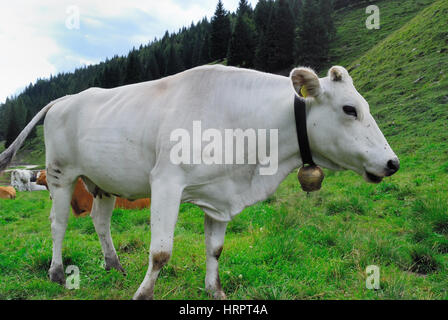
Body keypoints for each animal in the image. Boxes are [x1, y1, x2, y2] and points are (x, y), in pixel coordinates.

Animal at [0, 64, 400, 300]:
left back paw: (113, 265)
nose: (392, 162)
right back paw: (55, 271)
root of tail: (65, 98)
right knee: (59, 223)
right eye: (350, 109)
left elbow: (215, 250)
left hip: (102, 181)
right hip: (61, 174)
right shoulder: (166, 182)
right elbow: (161, 252)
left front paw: (215, 292)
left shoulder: (221, 196)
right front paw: (143, 294)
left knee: (100, 221)